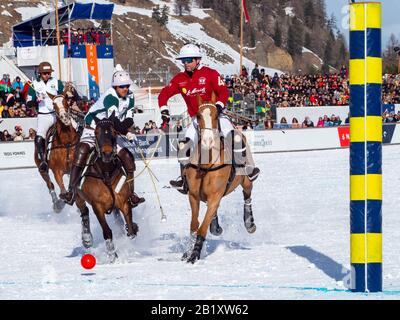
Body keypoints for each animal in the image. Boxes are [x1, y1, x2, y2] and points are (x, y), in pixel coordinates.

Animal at [35, 84, 82, 212]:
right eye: (53, 104)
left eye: (66, 101)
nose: (64, 117)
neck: (66, 141)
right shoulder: (57, 171)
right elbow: (62, 189)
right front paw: (62, 202)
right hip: (41, 167)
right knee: (49, 183)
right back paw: (57, 203)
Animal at [74, 115, 138, 262]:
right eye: (96, 132)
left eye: (114, 132)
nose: (107, 153)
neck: (106, 172)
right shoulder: (97, 206)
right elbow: (107, 231)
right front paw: (112, 255)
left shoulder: (124, 202)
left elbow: (130, 229)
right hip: (78, 196)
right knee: (84, 212)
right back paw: (87, 239)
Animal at [182, 94, 255, 264]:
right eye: (198, 116)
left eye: (216, 116)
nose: (207, 141)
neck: (206, 164)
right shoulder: (193, 196)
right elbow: (194, 225)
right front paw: (188, 252)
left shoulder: (215, 196)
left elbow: (202, 228)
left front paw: (194, 254)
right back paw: (215, 226)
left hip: (245, 178)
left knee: (247, 192)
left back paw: (249, 223)